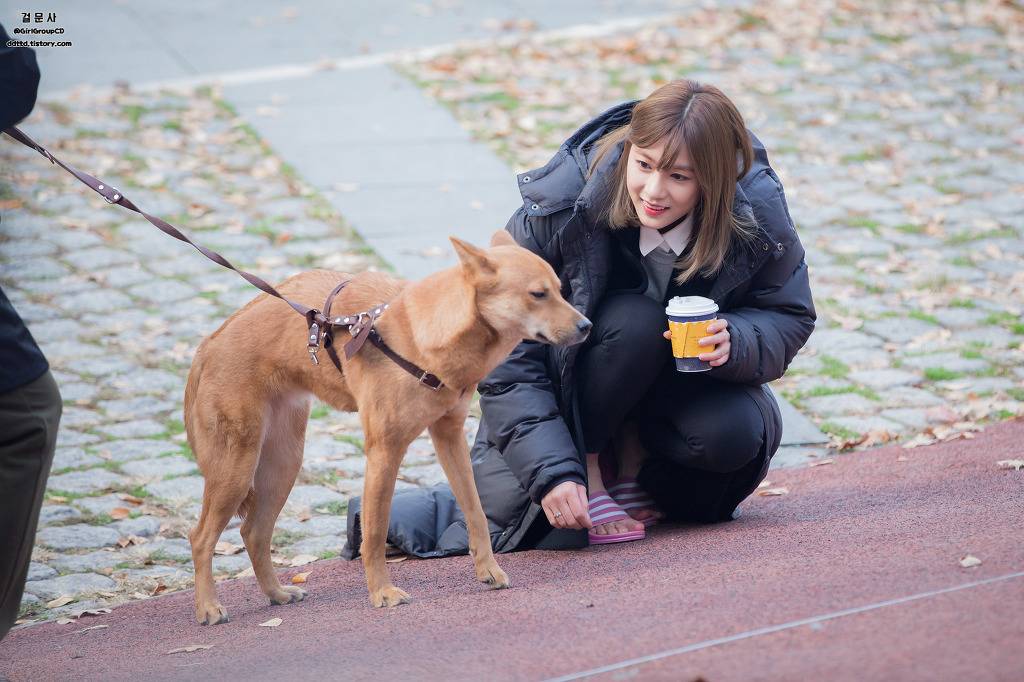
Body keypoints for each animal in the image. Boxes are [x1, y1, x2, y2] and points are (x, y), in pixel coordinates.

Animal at [184, 231, 593, 622]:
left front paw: (488, 570)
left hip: (282, 466)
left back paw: (277, 593)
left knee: (253, 532)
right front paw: (382, 592)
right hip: (237, 470)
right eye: (538, 294)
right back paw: (208, 607)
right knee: (201, 536)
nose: (587, 325)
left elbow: (475, 511)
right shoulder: (385, 451)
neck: (421, 335)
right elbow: (376, 530)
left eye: (560, 288)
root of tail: (208, 345)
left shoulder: (449, 438)